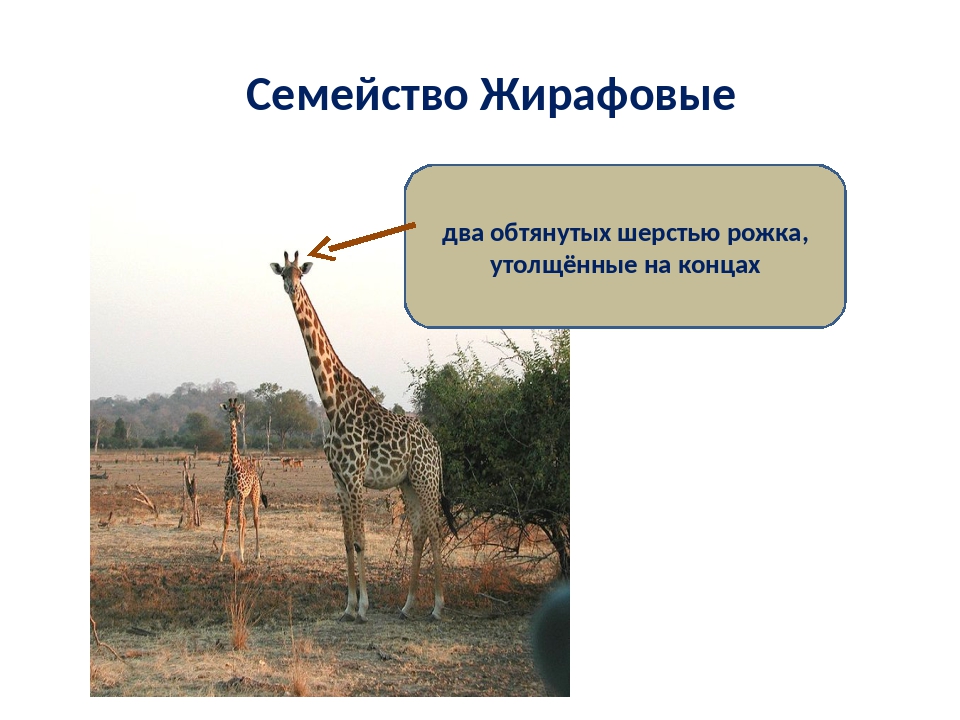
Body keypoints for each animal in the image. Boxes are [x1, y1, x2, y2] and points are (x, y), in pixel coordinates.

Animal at [219, 398, 266, 563]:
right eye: (229, 410)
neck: (233, 464)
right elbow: (227, 521)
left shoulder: (239, 494)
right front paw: (221, 553)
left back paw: (257, 553)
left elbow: (238, 522)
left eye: (238, 410)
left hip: (254, 494)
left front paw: (240, 555)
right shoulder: (228, 495)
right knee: (245, 519)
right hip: (244, 498)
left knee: (255, 518)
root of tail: (256, 474)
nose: (238, 419)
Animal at [271, 251, 457, 622]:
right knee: (419, 531)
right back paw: (407, 605)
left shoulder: (356, 479)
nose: (291, 287)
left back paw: (437, 607)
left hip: (427, 480)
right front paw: (346, 607)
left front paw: (363, 608)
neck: (332, 405)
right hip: (407, 483)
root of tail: (436, 444)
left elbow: (361, 541)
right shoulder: (338, 481)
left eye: (301, 274)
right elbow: (345, 542)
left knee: (435, 530)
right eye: (283, 272)